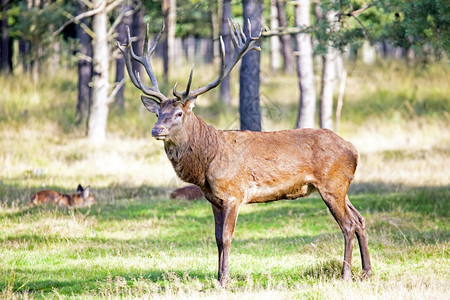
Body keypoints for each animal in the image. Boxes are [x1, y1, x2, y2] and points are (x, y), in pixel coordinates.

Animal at [118, 19, 370, 286]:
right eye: (157, 113)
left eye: (178, 113)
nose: (156, 129)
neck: (206, 163)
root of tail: (354, 149)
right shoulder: (213, 199)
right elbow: (217, 239)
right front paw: (218, 276)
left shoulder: (233, 194)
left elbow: (227, 237)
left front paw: (224, 280)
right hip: (342, 186)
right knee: (360, 219)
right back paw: (366, 271)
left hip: (332, 184)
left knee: (348, 224)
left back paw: (345, 275)